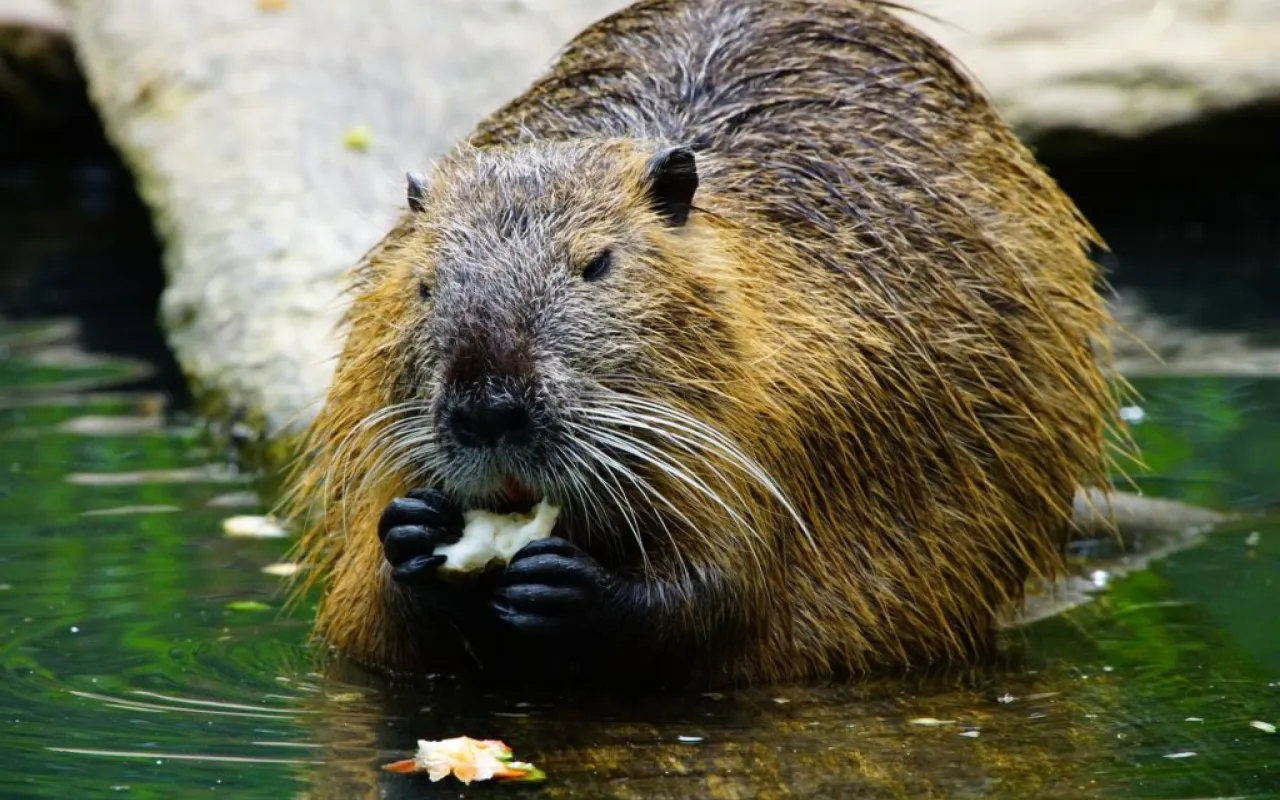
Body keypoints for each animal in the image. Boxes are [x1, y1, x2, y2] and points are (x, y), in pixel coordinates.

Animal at [285, 0, 1126, 686]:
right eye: (425, 282)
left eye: (597, 264)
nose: (487, 410)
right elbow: (366, 626)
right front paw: (410, 537)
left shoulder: (808, 403)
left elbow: (734, 587)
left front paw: (568, 584)